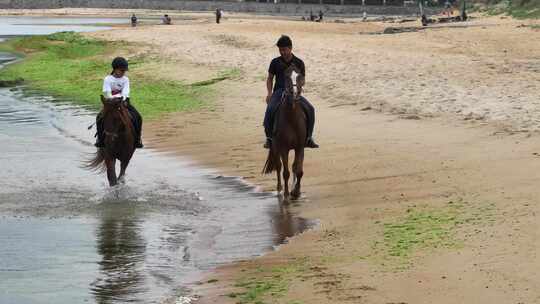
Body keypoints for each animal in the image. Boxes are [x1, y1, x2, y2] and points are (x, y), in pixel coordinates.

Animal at [262, 64, 306, 200]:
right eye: (286, 76)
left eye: (300, 76)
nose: (295, 93)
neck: (292, 118)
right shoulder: (283, 148)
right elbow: (285, 172)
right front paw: (287, 194)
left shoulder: (300, 147)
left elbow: (299, 171)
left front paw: (296, 192)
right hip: (276, 148)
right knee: (279, 166)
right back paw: (280, 189)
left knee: (293, 167)